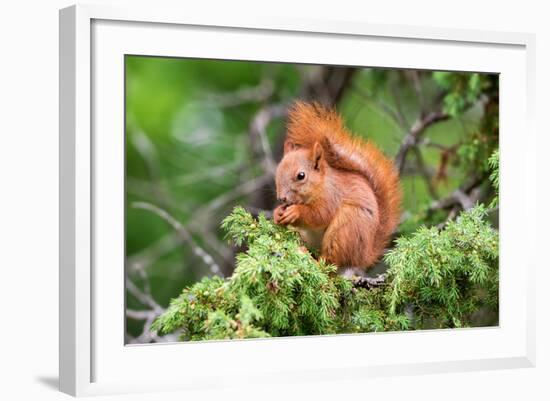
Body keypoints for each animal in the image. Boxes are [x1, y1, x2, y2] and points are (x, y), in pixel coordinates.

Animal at [274, 100, 402, 270]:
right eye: (277, 171)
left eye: (301, 176)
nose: (281, 198)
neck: (321, 185)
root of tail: (364, 256)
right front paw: (277, 213)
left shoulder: (332, 196)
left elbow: (320, 214)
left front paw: (296, 212)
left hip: (346, 228)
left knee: (331, 262)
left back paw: (313, 260)